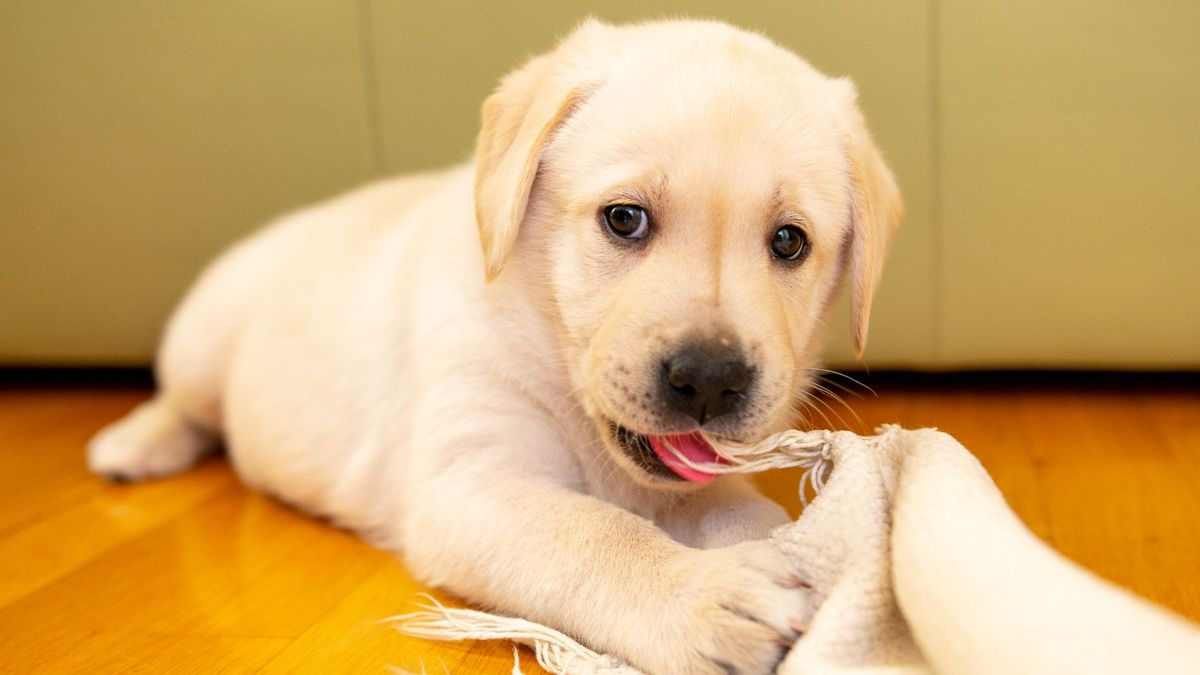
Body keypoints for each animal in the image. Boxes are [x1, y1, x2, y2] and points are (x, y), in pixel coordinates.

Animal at [88, 19, 897, 672]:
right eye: (624, 219)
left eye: (789, 242)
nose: (708, 380)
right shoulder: (469, 482)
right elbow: (594, 532)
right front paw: (702, 597)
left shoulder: (698, 476)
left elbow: (735, 512)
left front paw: (807, 556)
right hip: (203, 340)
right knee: (184, 403)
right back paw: (136, 443)